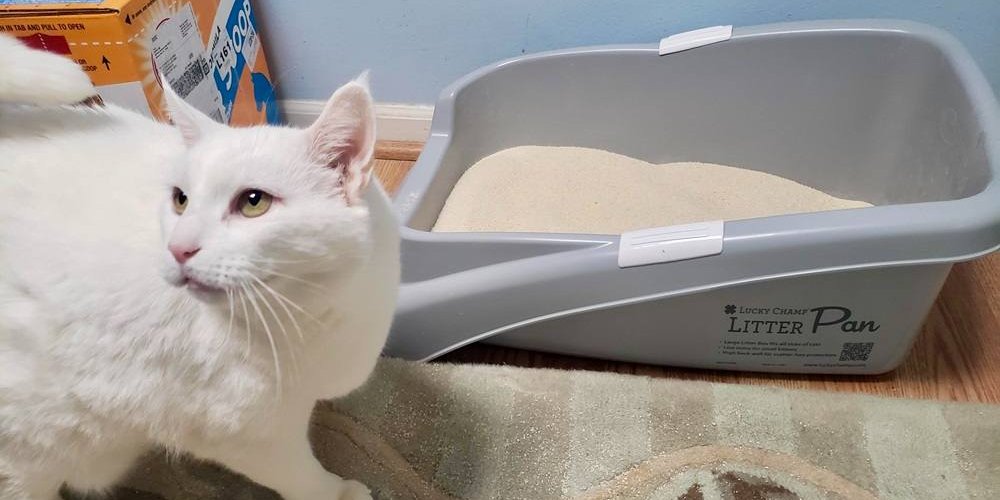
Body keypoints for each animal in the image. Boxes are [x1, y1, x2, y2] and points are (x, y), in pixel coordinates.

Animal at [0, 36, 398, 500]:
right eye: (181, 200)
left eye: (254, 202)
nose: (178, 248)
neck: (314, 312)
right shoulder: (252, 435)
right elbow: (302, 475)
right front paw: (340, 491)